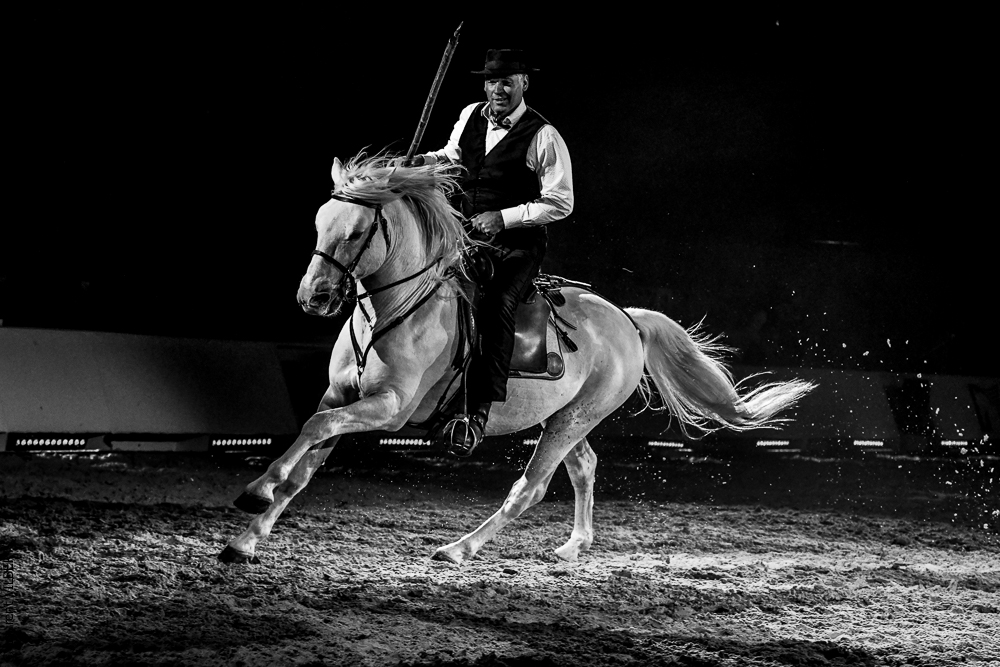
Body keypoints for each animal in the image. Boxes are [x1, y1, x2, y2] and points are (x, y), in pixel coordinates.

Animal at [218, 153, 815, 566]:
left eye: (360, 231)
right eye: (320, 221)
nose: (313, 297)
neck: (394, 308)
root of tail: (626, 318)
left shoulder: (388, 408)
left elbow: (313, 430)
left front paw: (255, 492)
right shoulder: (343, 396)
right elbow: (308, 455)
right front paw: (247, 539)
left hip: (576, 416)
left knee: (530, 488)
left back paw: (460, 549)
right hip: (567, 417)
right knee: (583, 467)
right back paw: (574, 546)